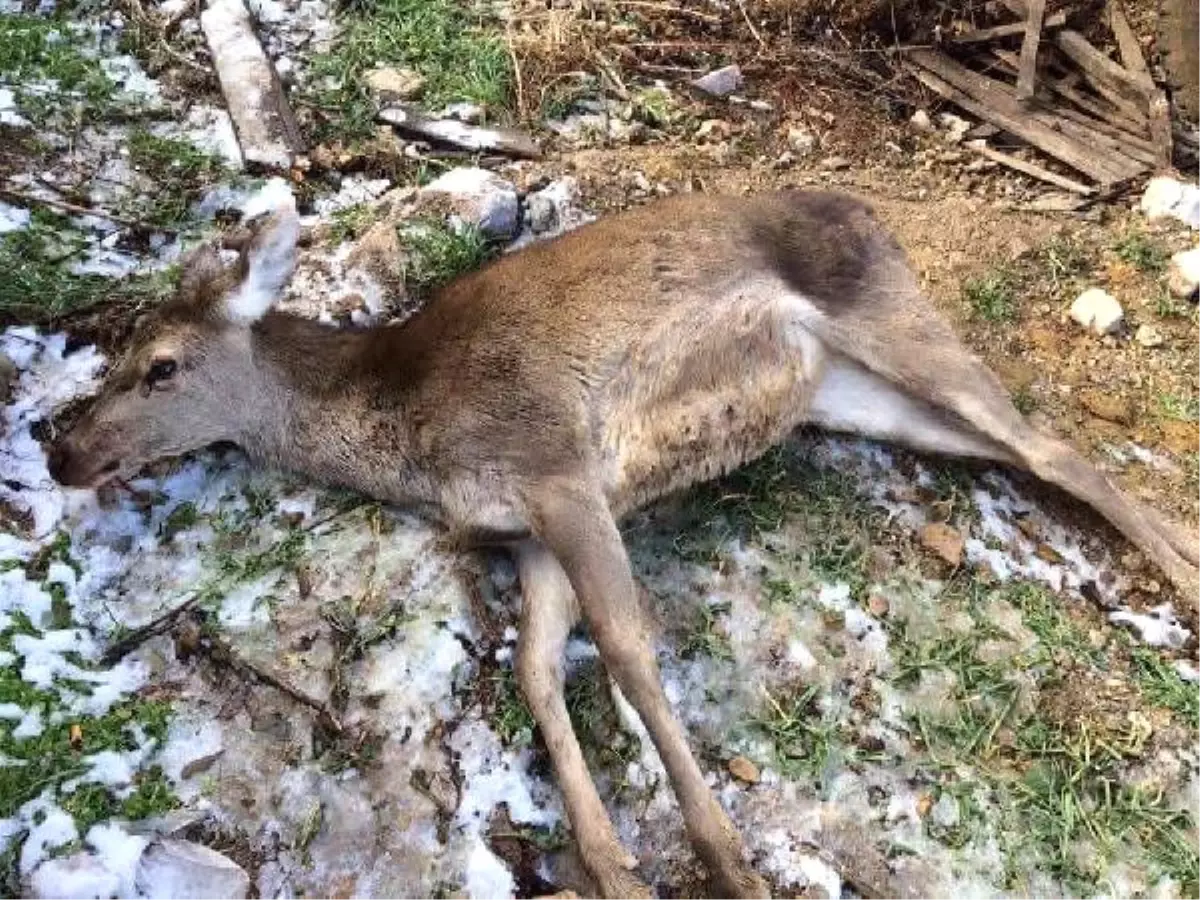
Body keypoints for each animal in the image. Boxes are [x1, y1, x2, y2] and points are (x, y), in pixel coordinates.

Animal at [46, 187, 1200, 897]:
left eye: (158, 364)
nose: (60, 453)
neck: (409, 434)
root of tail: (866, 209)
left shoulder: (560, 467)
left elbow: (629, 651)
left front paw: (726, 859)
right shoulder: (526, 528)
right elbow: (536, 669)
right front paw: (611, 863)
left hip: (892, 314)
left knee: (1053, 444)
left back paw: (1180, 569)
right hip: (849, 391)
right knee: (1025, 455)